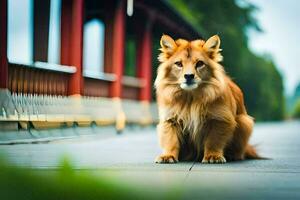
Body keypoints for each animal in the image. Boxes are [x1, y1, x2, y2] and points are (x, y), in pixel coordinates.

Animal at [155, 34, 258, 164]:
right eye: (178, 64)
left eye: (199, 63)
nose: (189, 76)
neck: (191, 98)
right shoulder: (170, 119)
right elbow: (171, 140)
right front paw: (168, 156)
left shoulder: (220, 119)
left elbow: (213, 141)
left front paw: (213, 156)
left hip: (245, 122)